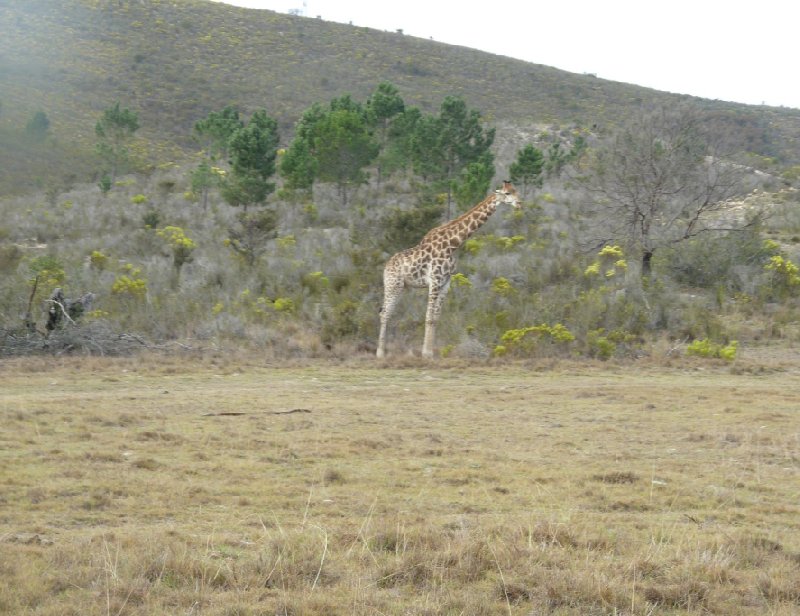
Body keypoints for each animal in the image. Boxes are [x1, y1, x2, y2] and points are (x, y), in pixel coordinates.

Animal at [378, 180, 520, 358]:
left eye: (516, 191)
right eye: (507, 193)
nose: (519, 203)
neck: (453, 245)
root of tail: (386, 267)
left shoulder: (446, 283)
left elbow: (435, 318)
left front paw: (431, 353)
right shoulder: (435, 280)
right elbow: (428, 316)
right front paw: (426, 353)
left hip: (401, 286)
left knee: (386, 312)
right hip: (393, 285)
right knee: (384, 313)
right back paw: (380, 353)